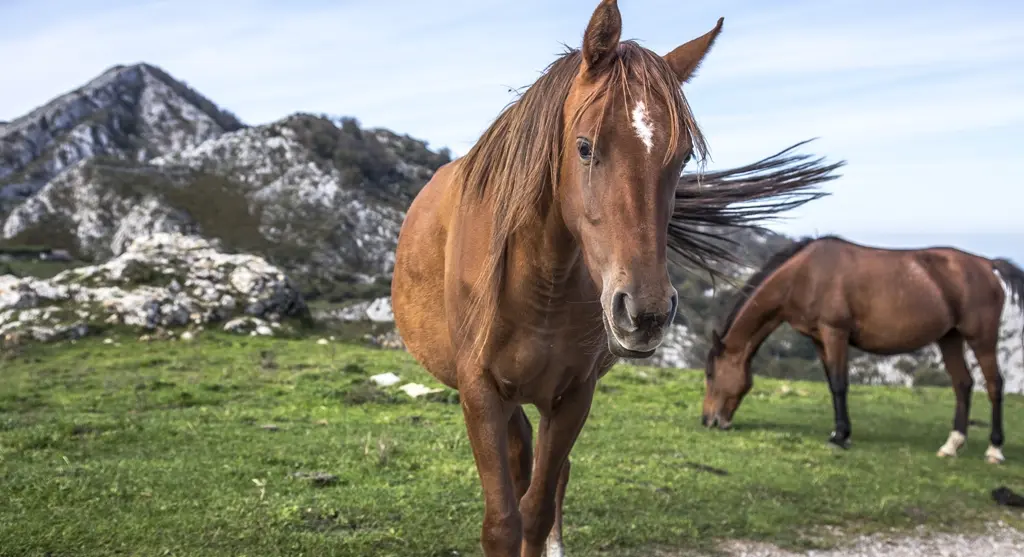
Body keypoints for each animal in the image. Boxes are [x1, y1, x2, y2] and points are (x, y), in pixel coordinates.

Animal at [391, 2, 839, 552]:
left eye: (682, 157)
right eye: (584, 147)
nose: (645, 313)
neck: (539, 287)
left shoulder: (573, 396)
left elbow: (536, 510)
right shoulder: (480, 392)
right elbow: (503, 522)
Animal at [704, 235, 1024, 464]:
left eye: (710, 374)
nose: (708, 420)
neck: (806, 274)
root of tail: (987, 264)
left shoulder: (835, 333)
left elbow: (839, 384)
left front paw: (841, 436)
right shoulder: (819, 339)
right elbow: (833, 385)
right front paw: (839, 432)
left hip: (981, 338)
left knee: (994, 385)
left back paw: (994, 450)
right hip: (950, 338)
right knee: (963, 384)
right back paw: (951, 445)